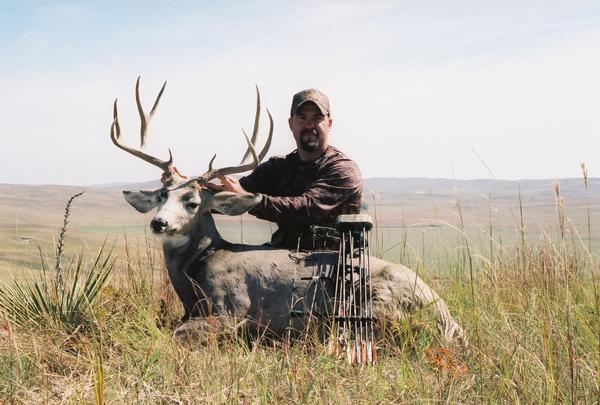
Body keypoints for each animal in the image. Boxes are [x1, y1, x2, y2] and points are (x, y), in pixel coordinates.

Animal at [112, 78, 468, 348]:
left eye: (193, 202)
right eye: (161, 195)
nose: (159, 222)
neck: (200, 266)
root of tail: (446, 315)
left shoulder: (231, 309)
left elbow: (172, 334)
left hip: (376, 304)